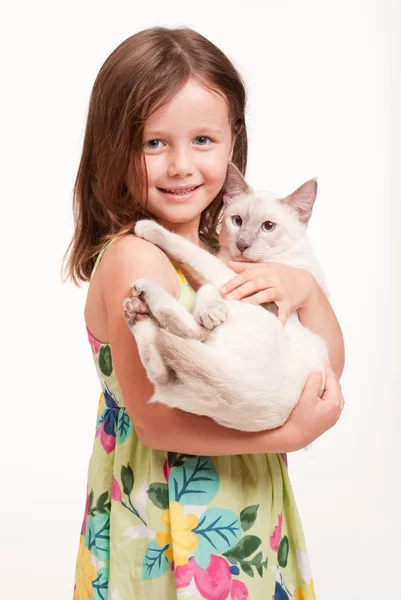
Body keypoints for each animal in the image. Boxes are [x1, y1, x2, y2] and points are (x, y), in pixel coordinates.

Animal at [122, 163, 328, 432]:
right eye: (237, 221)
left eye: (268, 226)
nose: (242, 244)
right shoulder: (226, 277)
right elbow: (204, 280)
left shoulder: (233, 280)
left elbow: (191, 252)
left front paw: (147, 227)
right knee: (162, 373)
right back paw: (136, 312)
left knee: (190, 333)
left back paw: (145, 293)